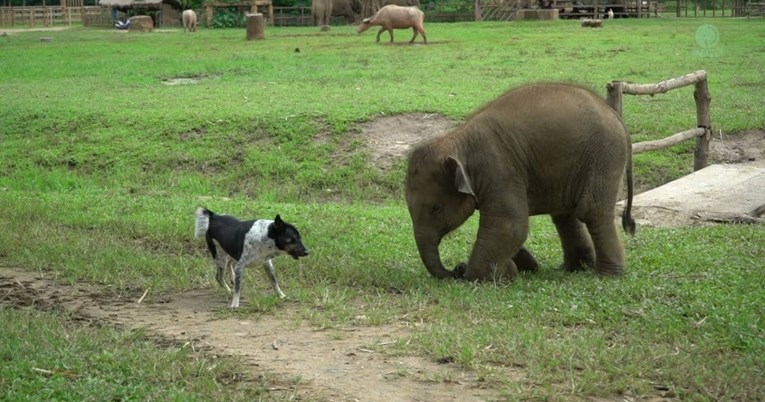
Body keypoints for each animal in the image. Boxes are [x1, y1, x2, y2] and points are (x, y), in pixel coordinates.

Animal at [402, 83, 636, 282]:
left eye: (435, 208)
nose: (456, 269)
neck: (457, 140)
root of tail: (616, 116)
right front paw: (522, 268)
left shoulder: (498, 168)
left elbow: (509, 225)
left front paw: (478, 276)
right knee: (565, 215)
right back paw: (576, 268)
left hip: (604, 156)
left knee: (591, 211)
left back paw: (608, 275)